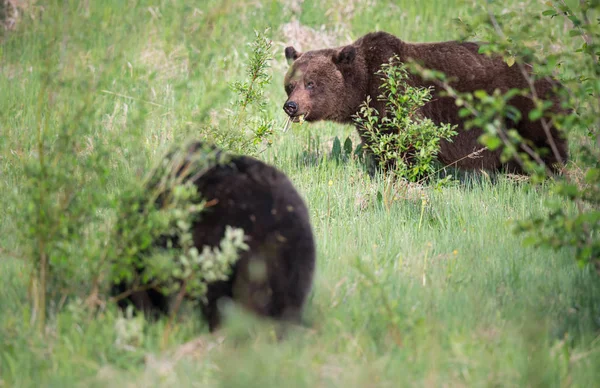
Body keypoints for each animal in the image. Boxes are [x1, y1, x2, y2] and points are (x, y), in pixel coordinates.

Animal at [284, 31, 568, 174]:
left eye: (311, 83)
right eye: (290, 84)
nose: (291, 106)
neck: (362, 87)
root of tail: (548, 72)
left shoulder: (395, 92)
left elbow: (406, 141)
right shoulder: (370, 117)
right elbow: (380, 144)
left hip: (525, 107)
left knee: (543, 145)